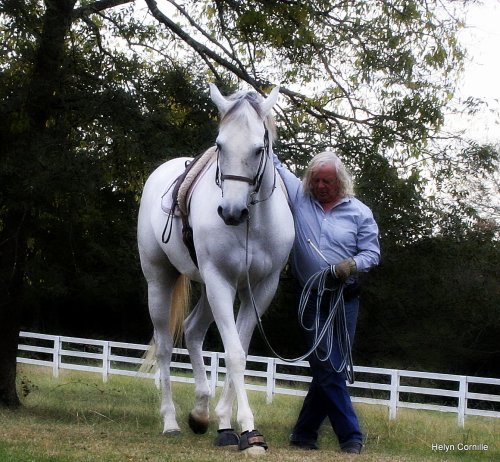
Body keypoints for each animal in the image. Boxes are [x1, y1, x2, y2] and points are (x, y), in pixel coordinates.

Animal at [137, 85, 294, 452]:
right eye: (220, 145)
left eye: (259, 148)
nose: (231, 212)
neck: (252, 226)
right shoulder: (221, 280)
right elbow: (234, 353)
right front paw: (245, 428)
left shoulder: (260, 289)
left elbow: (241, 349)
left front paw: (227, 421)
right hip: (161, 281)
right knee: (165, 346)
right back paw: (170, 422)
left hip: (208, 289)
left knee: (193, 331)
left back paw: (200, 412)